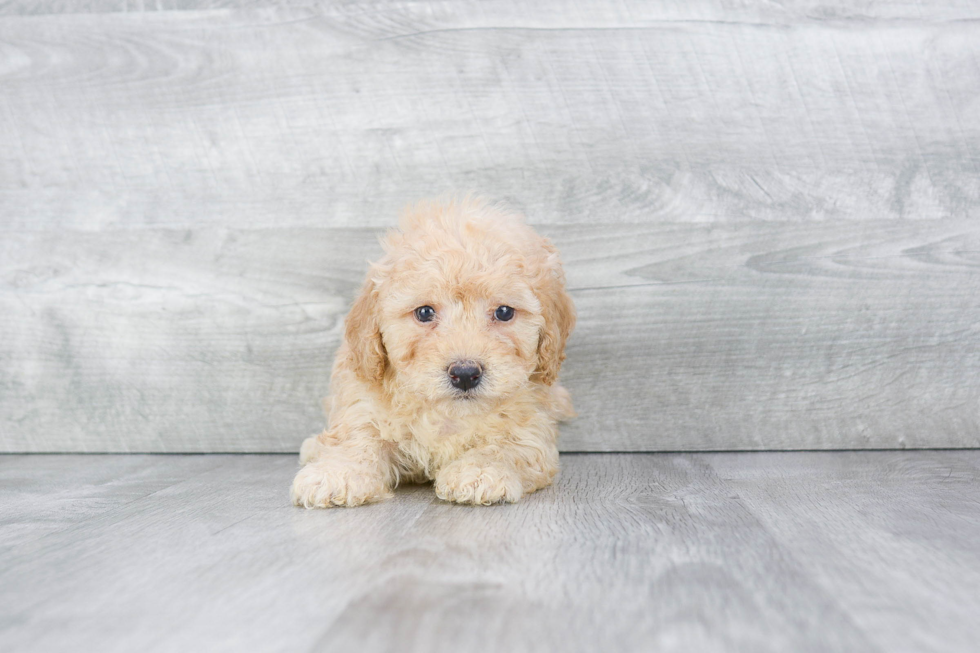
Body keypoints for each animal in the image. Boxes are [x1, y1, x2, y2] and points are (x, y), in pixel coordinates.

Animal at [288, 199, 576, 510]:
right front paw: (336, 473)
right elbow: (358, 439)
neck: (447, 414)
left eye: (503, 312)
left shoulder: (532, 429)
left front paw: (479, 472)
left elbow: (505, 447)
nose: (465, 373)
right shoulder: (362, 403)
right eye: (425, 312)